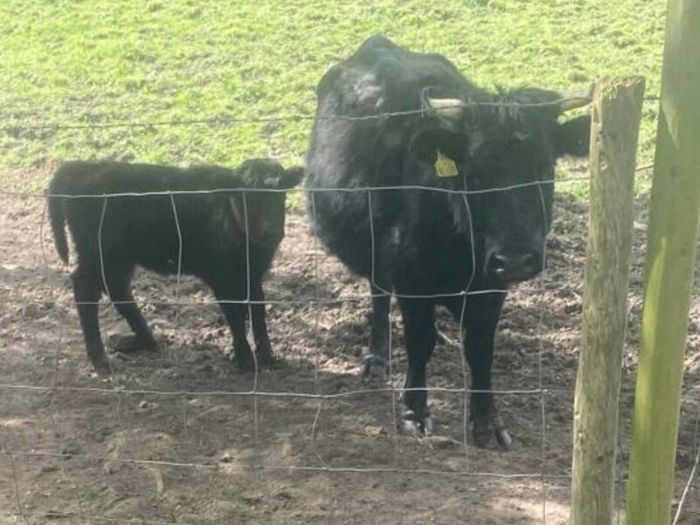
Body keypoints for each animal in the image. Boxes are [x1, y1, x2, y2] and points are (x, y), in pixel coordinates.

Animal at [48, 159, 303, 374]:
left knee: (117, 289)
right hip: (97, 253)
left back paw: (147, 339)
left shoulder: (253, 274)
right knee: (85, 288)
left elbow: (257, 308)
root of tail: (82, 166)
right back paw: (99, 358)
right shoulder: (222, 276)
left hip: (120, 258)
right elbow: (235, 314)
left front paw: (268, 355)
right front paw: (245, 359)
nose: (270, 231)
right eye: (248, 198)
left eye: (280, 195)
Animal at [305, 35, 590, 449]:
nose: (516, 259)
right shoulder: (410, 278)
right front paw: (415, 411)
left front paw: (487, 422)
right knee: (379, 294)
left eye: (544, 168)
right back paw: (378, 357)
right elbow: (417, 342)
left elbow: (481, 351)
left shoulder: (492, 286)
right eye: (475, 173)